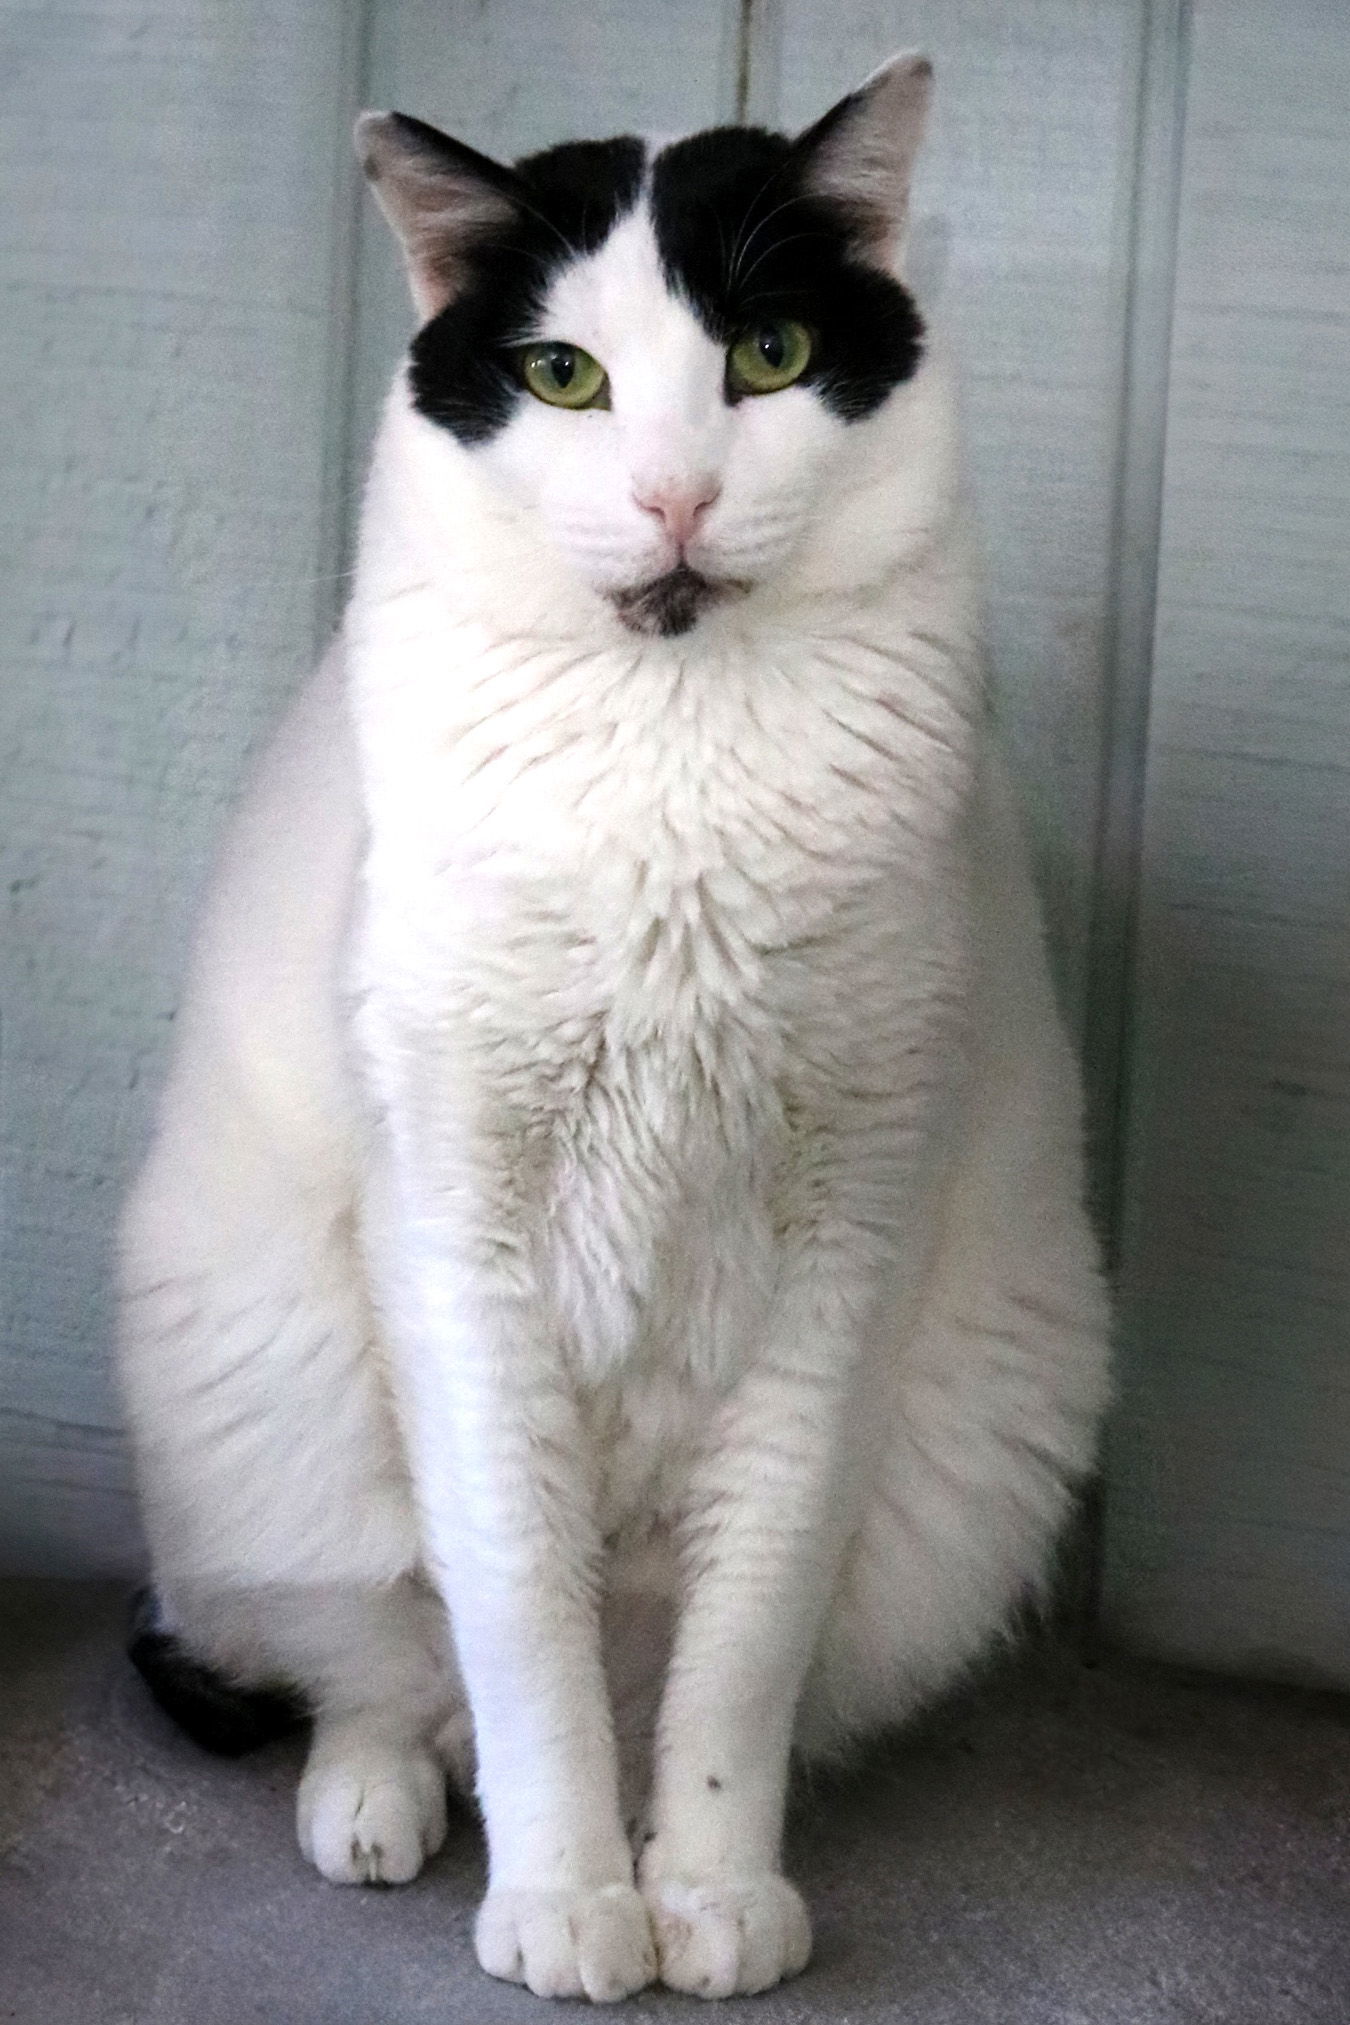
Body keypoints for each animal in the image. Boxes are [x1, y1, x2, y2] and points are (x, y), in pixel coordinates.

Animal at [118, 55, 1109, 2000]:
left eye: (774, 355)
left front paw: (709, 1889)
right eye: (563, 374)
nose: (671, 499)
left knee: (673, 1683)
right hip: (273, 1390)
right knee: (385, 1666)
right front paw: (567, 1900)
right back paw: (387, 1808)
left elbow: (741, 1645)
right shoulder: (459, 1232)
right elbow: (517, 1619)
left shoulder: (847, 1245)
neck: (675, 749)